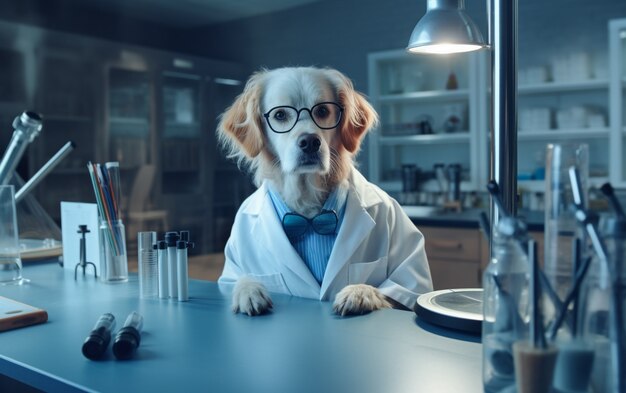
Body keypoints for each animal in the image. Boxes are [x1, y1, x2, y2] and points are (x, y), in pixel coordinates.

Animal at [214, 66, 428, 316]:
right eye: (280, 115)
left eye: (323, 110)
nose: (310, 142)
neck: (306, 204)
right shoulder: (230, 273)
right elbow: (239, 280)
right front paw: (249, 290)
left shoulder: (408, 282)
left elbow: (394, 290)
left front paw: (360, 292)